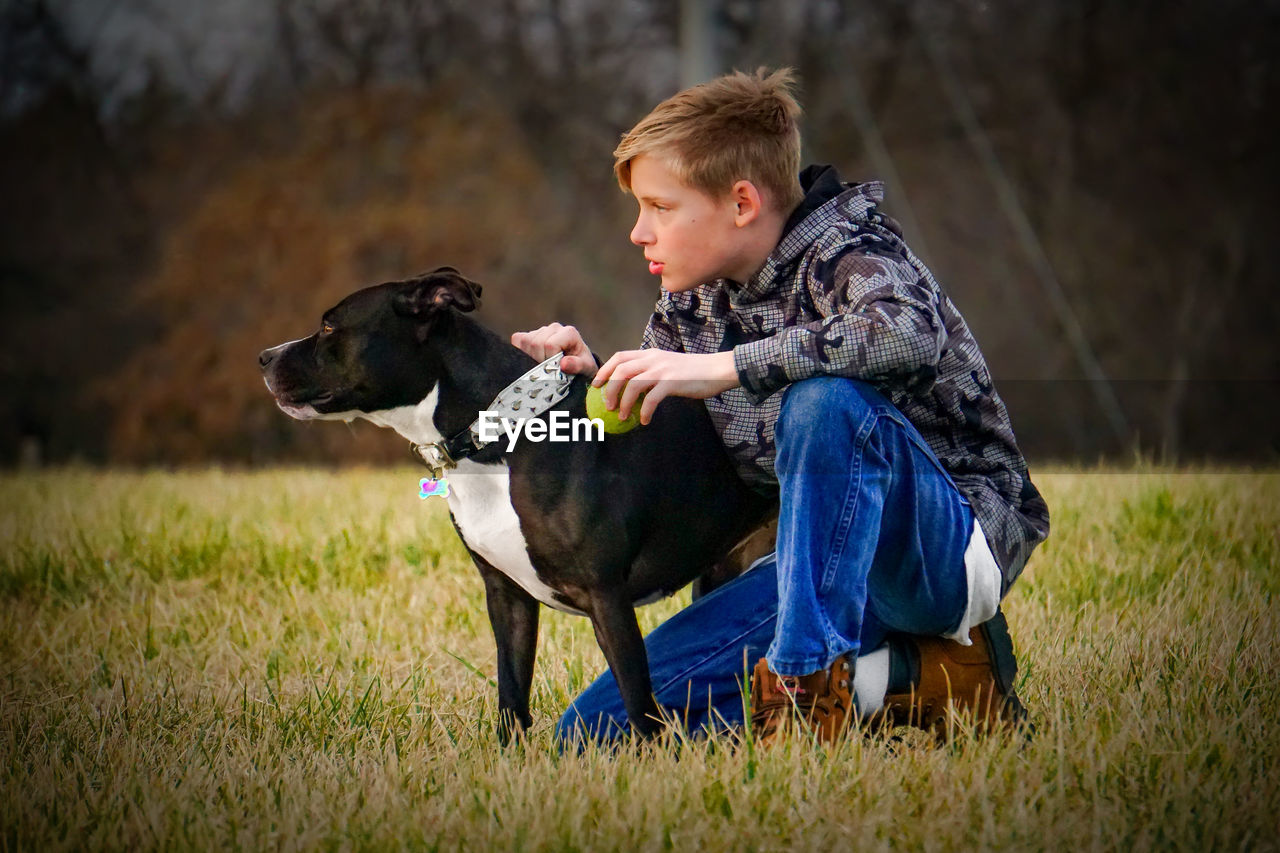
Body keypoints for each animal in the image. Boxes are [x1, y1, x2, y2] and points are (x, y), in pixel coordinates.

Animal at [259, 267, 773, 737]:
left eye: (330, 327)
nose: (264, 356)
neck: (497, 430)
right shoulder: (507, 597)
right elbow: (511, 695)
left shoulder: (606, 596)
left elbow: (636, 701)